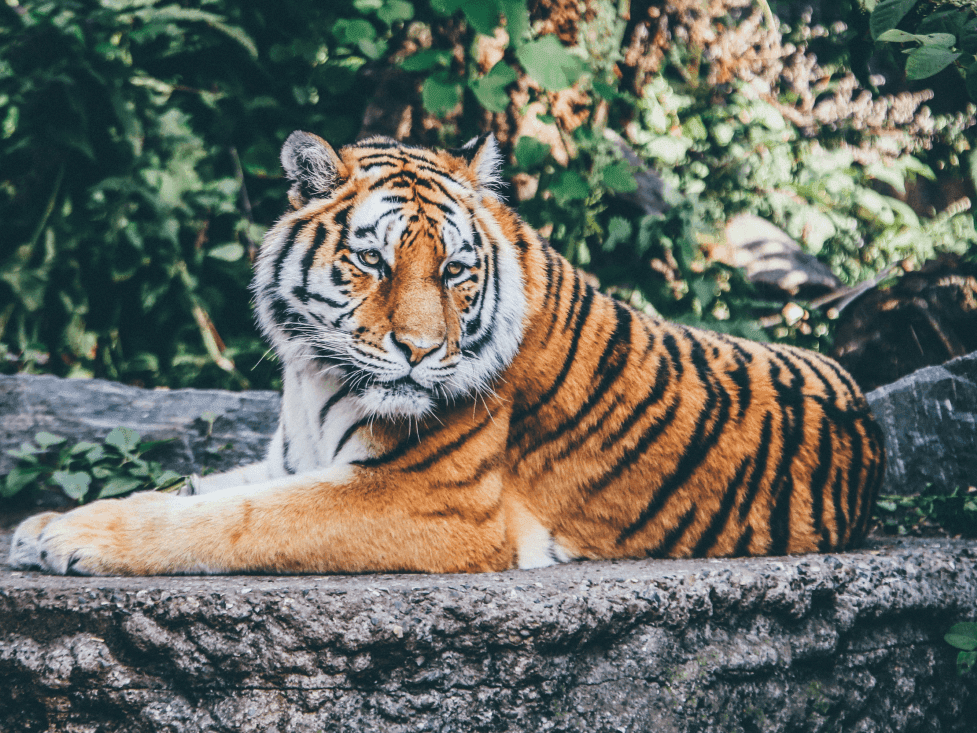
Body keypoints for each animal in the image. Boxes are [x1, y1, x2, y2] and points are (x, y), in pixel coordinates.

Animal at [5, 133, 884, 576]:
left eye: (456, 270)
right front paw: (43, 521)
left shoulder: (427, 499)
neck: (312, 373)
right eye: (373, 261)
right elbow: (195, 489)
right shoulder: (292, 458)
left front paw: (72, 537)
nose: (421, 352)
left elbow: (235, 518)